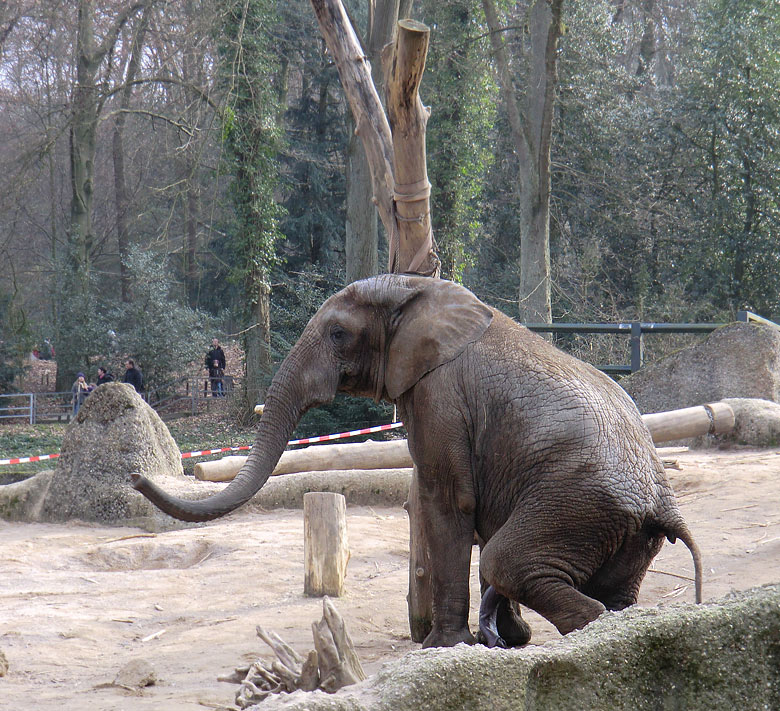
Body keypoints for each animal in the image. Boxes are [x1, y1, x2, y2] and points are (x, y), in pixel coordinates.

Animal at [131, 274, 704, 652]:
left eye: (337, 334)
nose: (136, 476)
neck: (420, 290)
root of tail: (665, 506)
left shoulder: (439, 396)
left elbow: (448, 501)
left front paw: (443, 647)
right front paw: (501, 640)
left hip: (576, 504)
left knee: (508, 562)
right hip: (616, 529)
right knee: (609, 591)